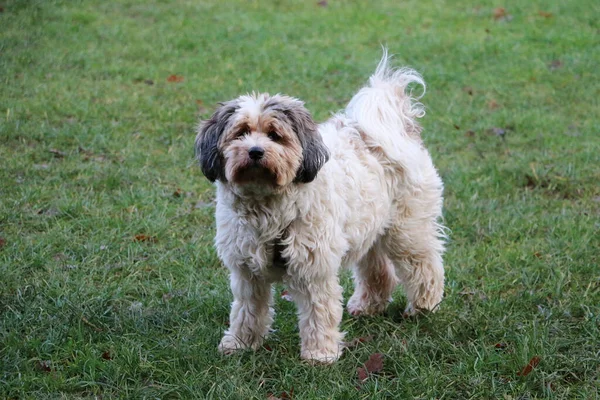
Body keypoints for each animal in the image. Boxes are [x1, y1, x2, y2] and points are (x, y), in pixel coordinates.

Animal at [195, 50, 442, 362]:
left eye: (274, 135)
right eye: (240, 133)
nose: (255, 151)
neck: (268, 208)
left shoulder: (314, 267)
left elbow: (318, 313)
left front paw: (319, 354)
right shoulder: (246, 270)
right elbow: (246, 311)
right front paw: (240, 343)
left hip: (406, 230)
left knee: (425, 265)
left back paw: (423, 307)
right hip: (369, 228)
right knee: (378, 270)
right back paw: (368, 305)